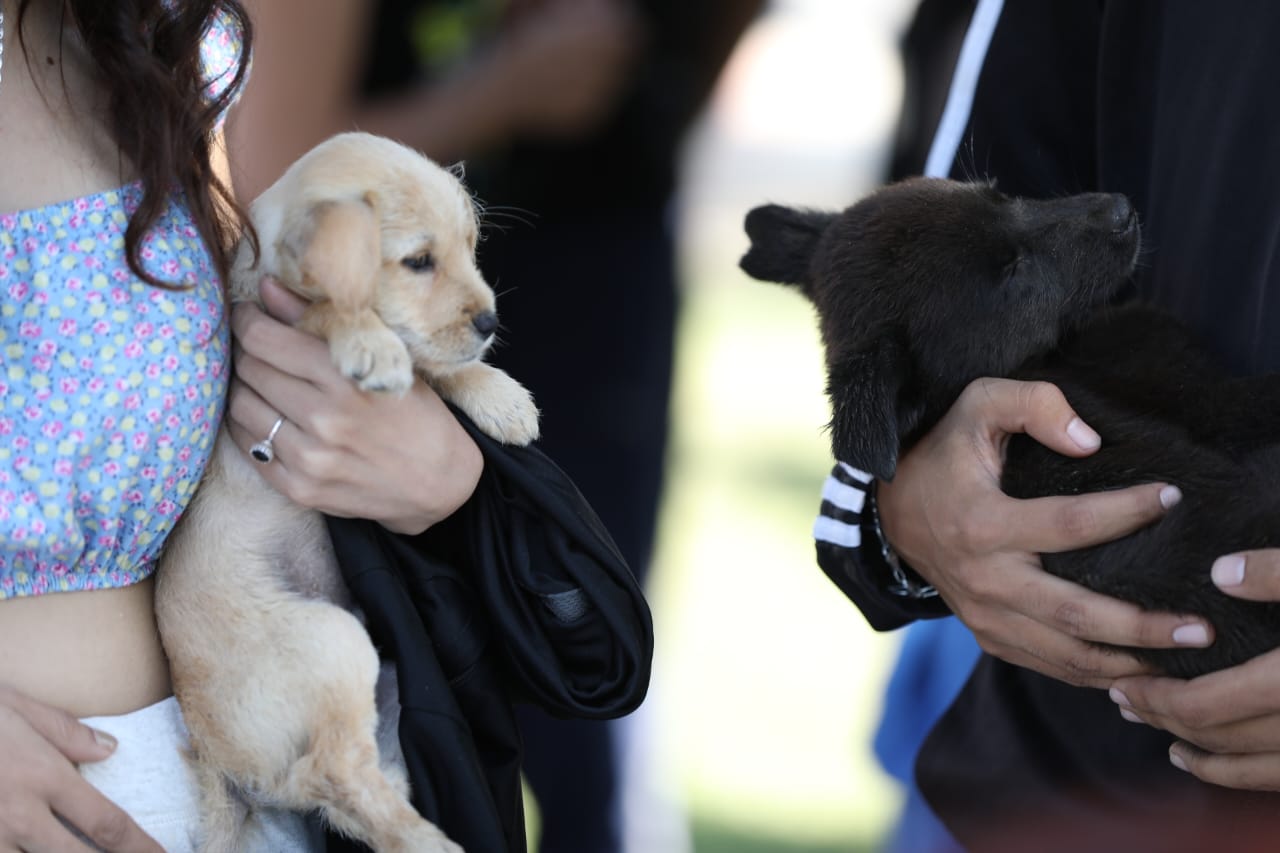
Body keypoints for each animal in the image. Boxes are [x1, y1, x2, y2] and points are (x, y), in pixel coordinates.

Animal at [155, 132, 539, 852]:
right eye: (418, 261)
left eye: (470, 247)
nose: (491, 320)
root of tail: (219, 762)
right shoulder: (278, 318)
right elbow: (355, 324)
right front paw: (371, 341)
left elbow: (437, 366)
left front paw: (500, 398)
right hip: (335, 645)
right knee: (333, 772)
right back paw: (432, 842)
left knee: (349, 782)